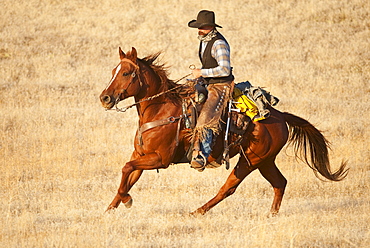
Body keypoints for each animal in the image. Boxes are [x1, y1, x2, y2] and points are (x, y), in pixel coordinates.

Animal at [99, 47, 348, 216]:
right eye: (113, 71)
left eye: (126, 73)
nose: (105, 98)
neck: (160, 109)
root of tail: (280, 116)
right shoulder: (141, 155)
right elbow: (128, 175)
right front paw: (111, 207)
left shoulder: (160, 158)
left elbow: (126, 169)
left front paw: (126, 201)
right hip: (265, 161)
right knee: (280, 183)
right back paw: (271, 215)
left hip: (250, 161)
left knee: (228, 188)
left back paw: (198, 211)